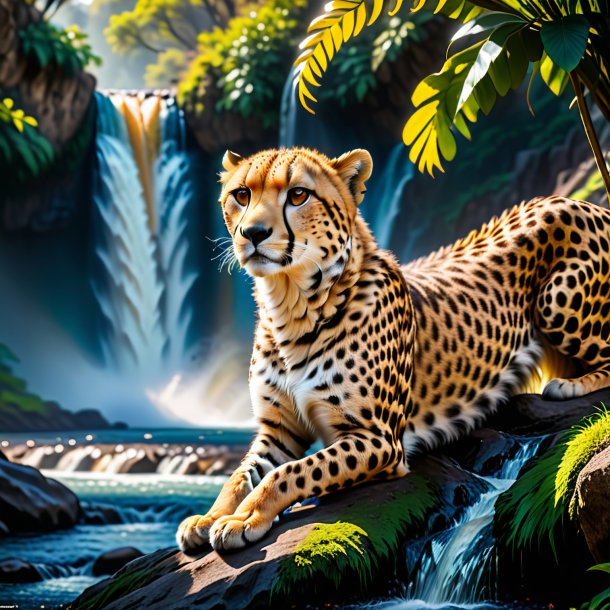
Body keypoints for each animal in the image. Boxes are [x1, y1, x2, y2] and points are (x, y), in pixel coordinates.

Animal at [176, 146, 608, 552]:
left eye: (298, 195)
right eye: (242, 194)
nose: (253, 233)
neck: (291, 306)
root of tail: (571, 200)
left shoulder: (378, 439)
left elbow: (291, 472)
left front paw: (243, 517)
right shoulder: (279, 432)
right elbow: (240, 475)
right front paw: (208, 516)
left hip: (555, 302)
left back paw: (571, 384)